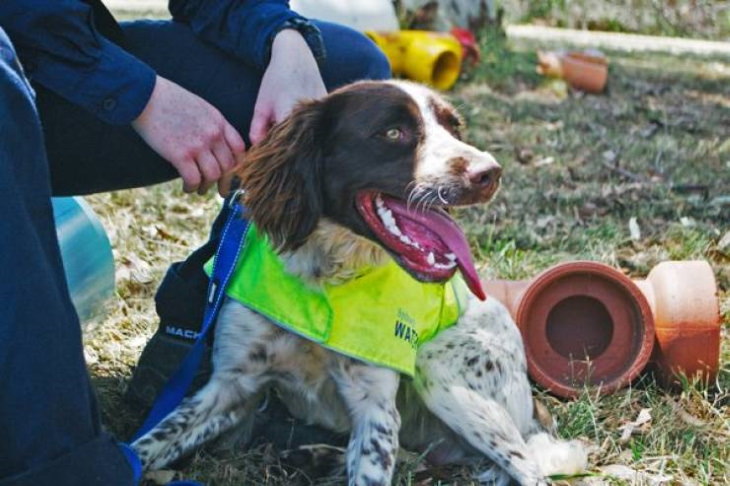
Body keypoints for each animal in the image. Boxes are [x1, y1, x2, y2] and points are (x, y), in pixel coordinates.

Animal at [132, 80, 584, 486]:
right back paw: (319, 456)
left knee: (527, 470)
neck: (325, 276)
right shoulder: (231, 384)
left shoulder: (375, 406)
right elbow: (149, 443)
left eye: (455, 128)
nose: (490, 172)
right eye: (392, 132)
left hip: (441, 373)